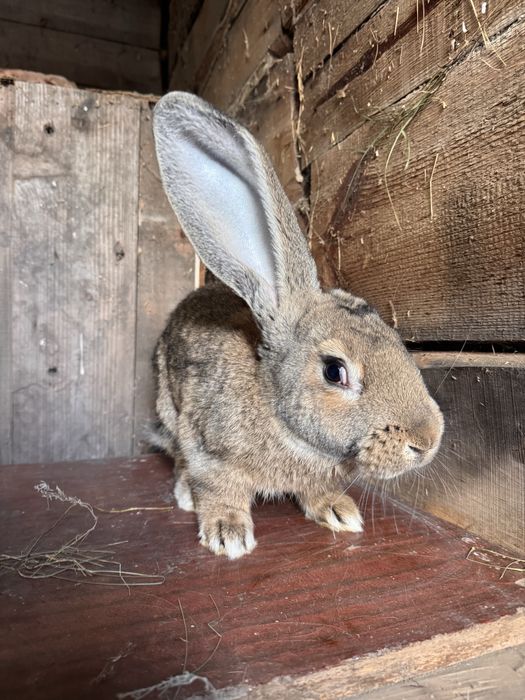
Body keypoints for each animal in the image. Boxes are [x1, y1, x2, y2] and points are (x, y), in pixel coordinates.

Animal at [152, 91, 444, 559]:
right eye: (334, 371)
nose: (427, 441)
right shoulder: (206, 449)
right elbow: (218, 489)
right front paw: (228, 535)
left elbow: (317, 493)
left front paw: (340, 511)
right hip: (168, 407)